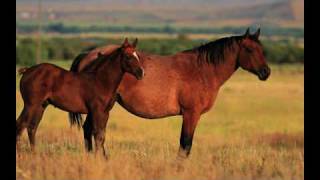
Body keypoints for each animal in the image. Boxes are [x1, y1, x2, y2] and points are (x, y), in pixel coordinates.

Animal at [15, 38, 144, 158]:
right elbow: (97, 134)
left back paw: (34, 153)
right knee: (20, 125)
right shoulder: (97, 111)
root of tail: (27, 70)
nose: (141, 73)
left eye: (137, 55)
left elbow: (102, 135)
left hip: (41, 106)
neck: (101, 81)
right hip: (30, 105)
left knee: (32, 127)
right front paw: (97, 158)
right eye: (128, 56)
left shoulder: (105, 113)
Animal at [69, 27, 270, 158]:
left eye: (262, 49)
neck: (201, 70)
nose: (266, 72)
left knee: (89, 130)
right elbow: (185, 144)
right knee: (92, 131)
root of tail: (87, 55)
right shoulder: (190, 114)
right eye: (250, 49)